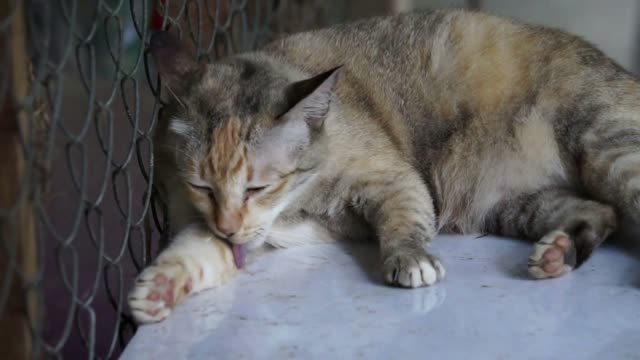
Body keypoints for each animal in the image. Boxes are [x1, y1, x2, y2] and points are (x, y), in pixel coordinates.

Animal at [126, 9, 636, 324]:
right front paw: (159, 289)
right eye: (202, 187)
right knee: (598, 212)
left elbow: (404, 222)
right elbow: (195, 253)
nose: (229, 227)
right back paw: (558, 253)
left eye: (257, 188)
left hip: (607, 150)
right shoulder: (227, 232)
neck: (298, 202)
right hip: (510, 204)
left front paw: (410, 259)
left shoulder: (394, 180)